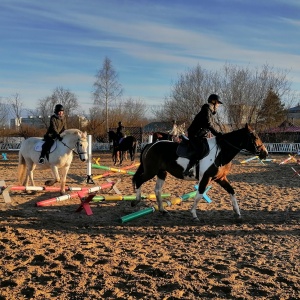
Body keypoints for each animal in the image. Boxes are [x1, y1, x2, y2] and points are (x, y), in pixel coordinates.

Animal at [132, 123, 268, 221]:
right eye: (255, 137)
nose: (265, 153)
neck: (221, 152)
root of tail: (151, 145)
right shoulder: (206, 177)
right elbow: (199, 195)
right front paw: (194, 214)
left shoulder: (220, 178)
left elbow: (232, 191)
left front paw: (237, 213)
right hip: (151, 171)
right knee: (139, 180)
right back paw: (137, 201)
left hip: (161, 172)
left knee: (157, 190)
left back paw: (162, 210)